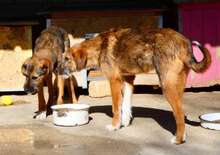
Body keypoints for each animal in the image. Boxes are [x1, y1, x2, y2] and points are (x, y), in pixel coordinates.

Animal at [57, 27, 211, 144]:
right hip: (177, 85)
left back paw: (177, 140)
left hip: (167, 85)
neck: (100, 47)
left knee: (179, 113)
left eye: (67, 59)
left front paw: (114, 126)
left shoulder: (114, 81)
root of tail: (183, 41)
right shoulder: (128, 79)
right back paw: (182, 136)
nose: (56, 70)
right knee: (180, 113)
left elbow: (115, 108)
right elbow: (126, 106)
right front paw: (124, 123)